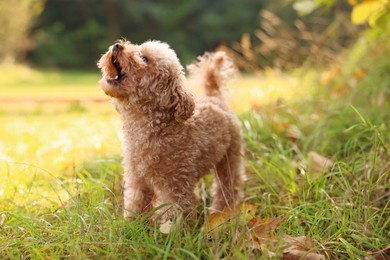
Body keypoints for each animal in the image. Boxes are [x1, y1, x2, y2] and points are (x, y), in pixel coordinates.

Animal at [97, 40, 244, 221]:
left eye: (144, 58)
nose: (117, 45)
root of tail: (214, 97)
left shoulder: (177, 186)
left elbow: (175, 215)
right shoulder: (137, 179)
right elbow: (136, 204)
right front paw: (132, 225)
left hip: (230, 156)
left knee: (229, 185)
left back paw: (222, 212)